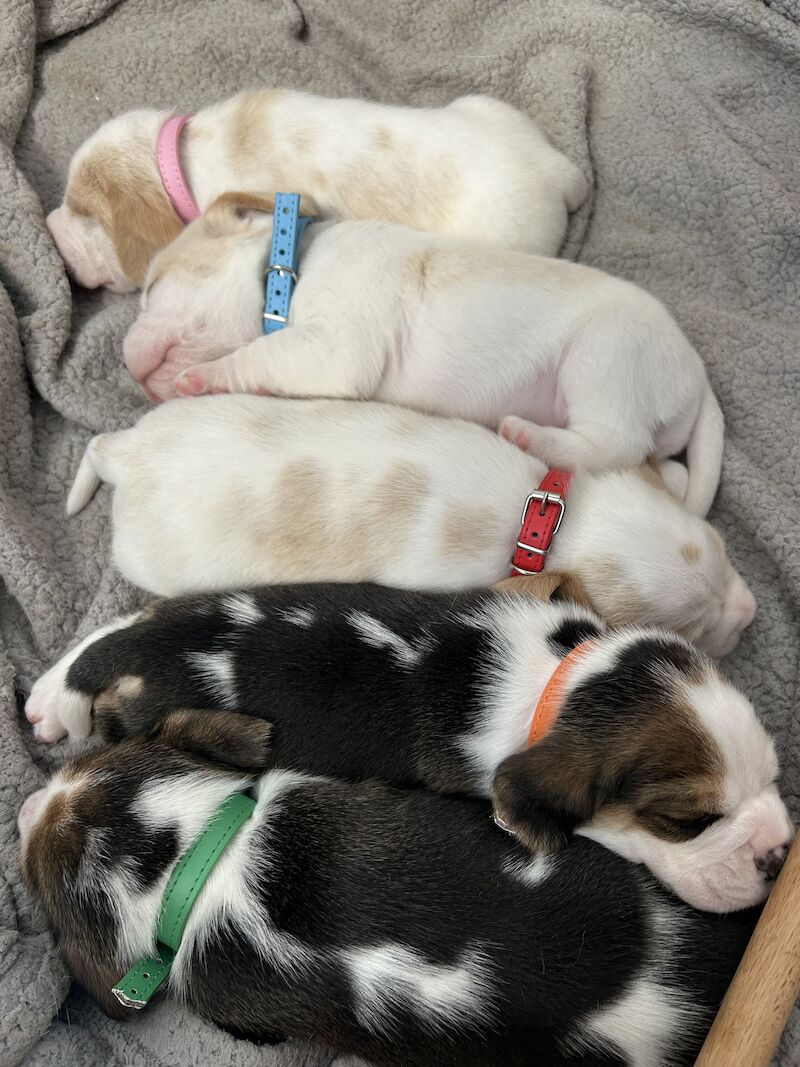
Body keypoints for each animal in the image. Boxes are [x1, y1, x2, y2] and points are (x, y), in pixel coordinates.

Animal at [21, 580, 793, 913]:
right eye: (688, 822)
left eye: (775, 774)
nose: (781, 857)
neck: (564, 679)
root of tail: (151, 648)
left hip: (176, 607)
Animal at [64, 394, 759, 653]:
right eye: (696, 630)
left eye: (726, 552)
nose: (752, 613)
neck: (546, 518)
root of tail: (133, 457)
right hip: (148, 556)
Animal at [128, 200, 725, 520]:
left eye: (152, 286)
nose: (125, 362)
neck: (289, 267)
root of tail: (698, 378)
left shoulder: (337, 346)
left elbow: (261, 352)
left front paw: (205, 378)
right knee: (662, 467)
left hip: (605, 354)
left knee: (615, 441)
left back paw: (529, 435)